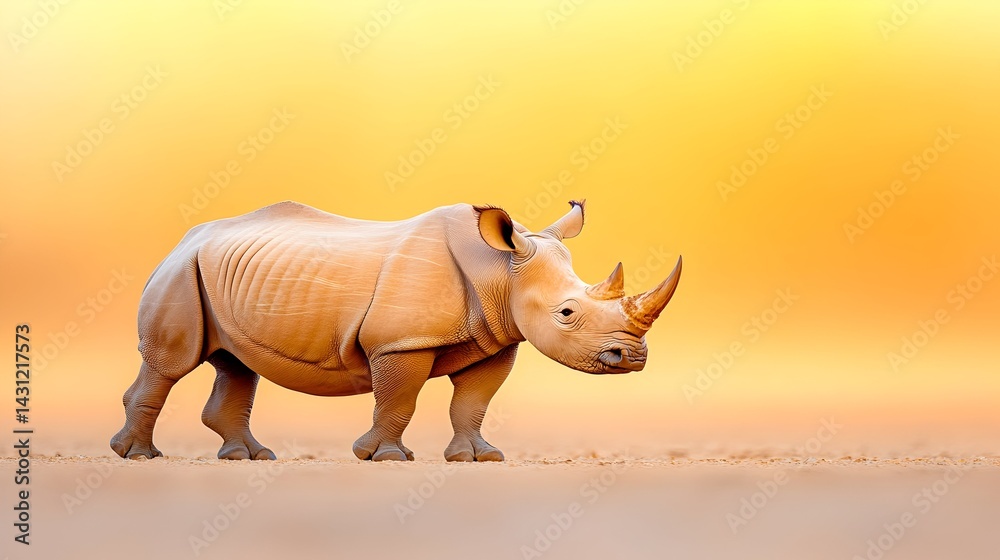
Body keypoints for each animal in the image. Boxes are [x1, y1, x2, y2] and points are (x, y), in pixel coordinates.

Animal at [111, 200, 681, 462]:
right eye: (566, 313)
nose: (632, 358)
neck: (501, 270)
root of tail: (186, 237)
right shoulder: (399, 343)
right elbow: (399, 398)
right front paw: (384, 457)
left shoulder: (497, 339)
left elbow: (473, 402)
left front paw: (478, 458)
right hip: (180, 273)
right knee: (171, 365)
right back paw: (138, 456)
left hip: (215, 275)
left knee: (235, 363)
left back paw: (248, 458)